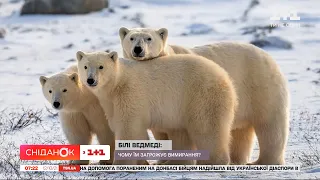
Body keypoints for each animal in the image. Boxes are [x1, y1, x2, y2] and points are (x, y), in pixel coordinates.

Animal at [76, 50, 238, 165]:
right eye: (85, 66)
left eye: (101, 66)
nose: (91, 80)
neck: (117, 83)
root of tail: (225, 77)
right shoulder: (110, 102)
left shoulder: (130, 93)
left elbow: (128, 128)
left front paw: (120, 163)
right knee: (181, 132)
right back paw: (176, 161)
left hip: (201, 96)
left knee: (206, 127)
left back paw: (212, 161)